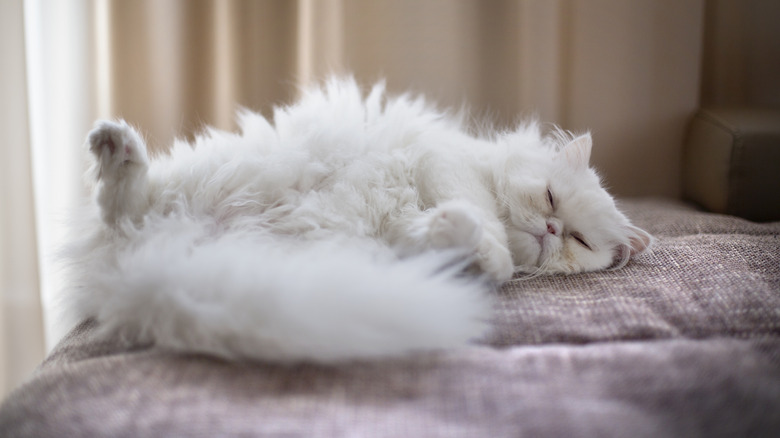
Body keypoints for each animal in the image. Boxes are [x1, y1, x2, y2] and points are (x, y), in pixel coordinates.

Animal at [64, 78, 652, 362]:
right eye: (551, 199)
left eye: (579, 240)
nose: (551, 231)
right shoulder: (448, 163)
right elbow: (482, 216)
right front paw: (489, 248)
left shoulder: (403, 225)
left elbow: (441, 232)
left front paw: (464, 241)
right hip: (210, 177)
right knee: (122, 204)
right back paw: (114, 143)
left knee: (122, 211)